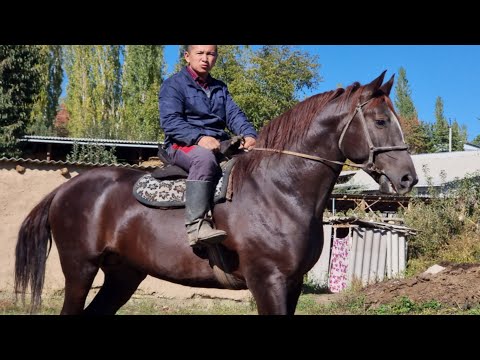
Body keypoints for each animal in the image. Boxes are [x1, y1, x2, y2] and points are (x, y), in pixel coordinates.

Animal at [15, 71, 416, 314]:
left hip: (123, 275)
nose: (408, 178)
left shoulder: (293, 283)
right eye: (381, 121)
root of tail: (65, 189)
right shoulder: (267, 281)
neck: (281, 191)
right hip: (80, 269)